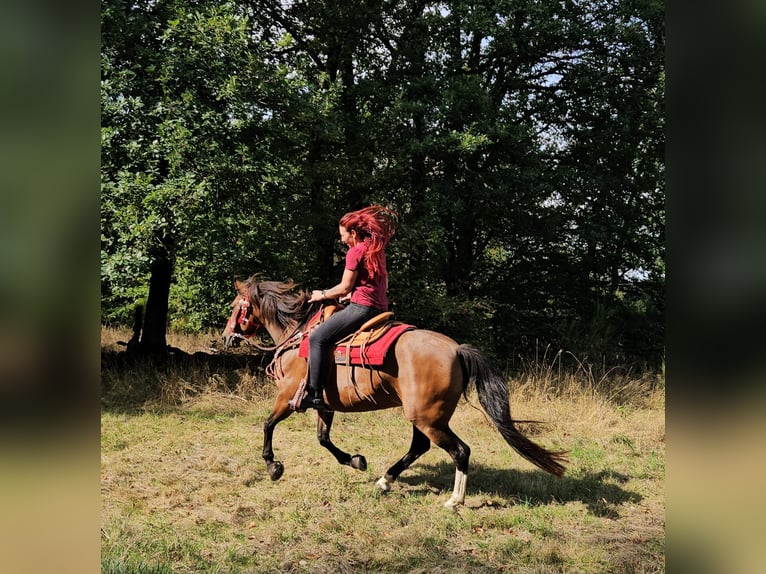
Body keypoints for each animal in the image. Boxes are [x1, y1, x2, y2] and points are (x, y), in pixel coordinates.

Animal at [221, 276, 567, 509]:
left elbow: (268, 425)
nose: (226, 337)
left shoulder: (288, 397)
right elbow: (323, 439)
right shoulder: (324, 404)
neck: (298, 337)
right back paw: (385, 480)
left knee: (459, 451)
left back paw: (454, 500)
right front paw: (356, 460)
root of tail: (457, 350)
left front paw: (273, 466)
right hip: (423, 415)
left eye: (236, 307)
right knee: (420, 446)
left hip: (427, 417)